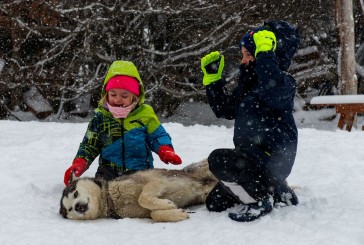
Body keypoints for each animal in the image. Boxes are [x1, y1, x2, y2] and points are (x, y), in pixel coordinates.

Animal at [59, 160, 218, 223]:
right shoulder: (144, 213)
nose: (78, 207)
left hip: (206, 168)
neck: (111, 198)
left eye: (75, 193)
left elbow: (143, 198)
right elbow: (154, 214)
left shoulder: (155, 182)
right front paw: (176, 212)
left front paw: (167, 204)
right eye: (69, 209)